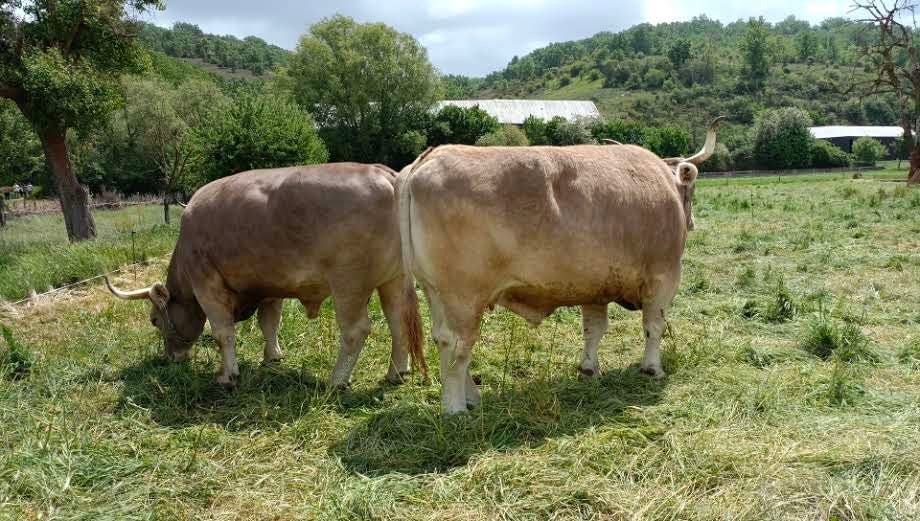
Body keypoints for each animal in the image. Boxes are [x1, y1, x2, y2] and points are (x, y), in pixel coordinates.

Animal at [105, 162, 428, 386]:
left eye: (154, 320)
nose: (171, 358)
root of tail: (385, 173)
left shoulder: (207, 285)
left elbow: (223, 332)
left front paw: (228, 376)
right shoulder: (270, 288)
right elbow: (269, 323)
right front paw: (272, 356)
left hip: (349, 285)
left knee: (356, 331)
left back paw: (337, 380)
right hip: (393, 281)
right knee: (398, 323)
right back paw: (396, 373)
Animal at [398, 118, 724, 414]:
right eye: (691, 190)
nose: (692, 222)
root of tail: (430, 157)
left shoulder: (595, 286)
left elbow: (594, 329)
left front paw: (590, 369)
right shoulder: (663, 276)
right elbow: (654, 326)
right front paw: (652, 368)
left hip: (436, 292)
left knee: (444, 340)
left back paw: (471, 398)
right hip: (463, 296)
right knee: (457, 345)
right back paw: (456, 409)